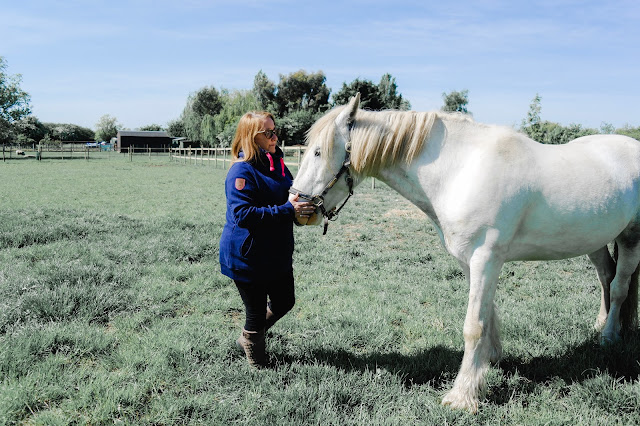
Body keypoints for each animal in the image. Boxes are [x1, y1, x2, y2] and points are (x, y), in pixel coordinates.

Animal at [289, 93, 640, 413]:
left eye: (319, 152)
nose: (297, 207)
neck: (462, 170)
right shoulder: (471, 261)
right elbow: (487, 314)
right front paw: (489, 363)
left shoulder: (486, 258)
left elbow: (473, 326)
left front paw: (462, 396)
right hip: (596, 241)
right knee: (606, 277)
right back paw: (601, 326)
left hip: (631, 239)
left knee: (619, 287)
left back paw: (610, 336)